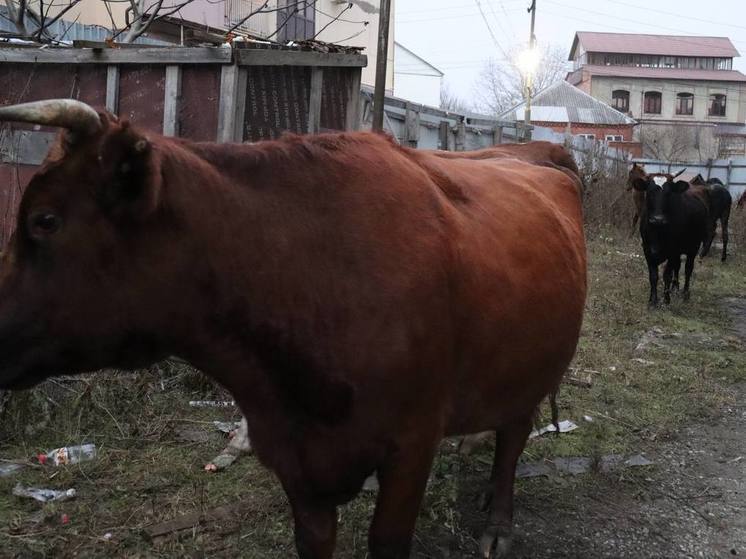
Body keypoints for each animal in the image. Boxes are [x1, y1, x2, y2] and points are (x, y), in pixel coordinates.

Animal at [0, 100, 584, 559]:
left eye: (44, 220)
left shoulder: (412, 444)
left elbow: (388, 541)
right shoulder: (293, 457)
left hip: (535, 367)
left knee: (514, 438)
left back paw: (498, 522)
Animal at [632, 174, 708, 308]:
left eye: (668, 193)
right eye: (649, 192)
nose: (657, 219)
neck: (657, 232)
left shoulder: (673, 251)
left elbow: (667, 275)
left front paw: (666, 300)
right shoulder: (647, 250)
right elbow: (653, 276)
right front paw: (652, 301)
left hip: (693, 247)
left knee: (688, 269)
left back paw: (685, 293)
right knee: (677, 267)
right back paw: (675, 288)